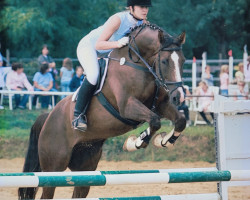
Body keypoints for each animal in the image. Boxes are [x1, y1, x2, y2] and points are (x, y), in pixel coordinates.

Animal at [18, 23, 187, 198]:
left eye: (183, 61)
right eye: (165, 61)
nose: (178, 97)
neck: (137, 64)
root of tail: (48, 117)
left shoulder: (161, 105)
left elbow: (180, 121)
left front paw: (163, 141)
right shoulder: (127, 106)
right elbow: (154, 121)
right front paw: (136, 142)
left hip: (86, 168)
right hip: (53, 167)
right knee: (48, 189)